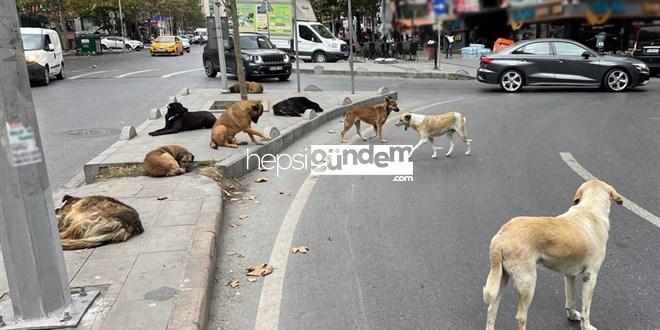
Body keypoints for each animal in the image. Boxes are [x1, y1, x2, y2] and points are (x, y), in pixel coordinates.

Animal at [484, 179, 624, 330]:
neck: (589, 210)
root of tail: (501, 237)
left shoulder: (569, 276)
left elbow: (571, 299)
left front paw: (572, 315)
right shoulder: (590, 276)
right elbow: (586, 309)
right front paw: (586, 326)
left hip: (501, 278)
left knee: (492, 309)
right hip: (528, 283)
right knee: (520, 317)